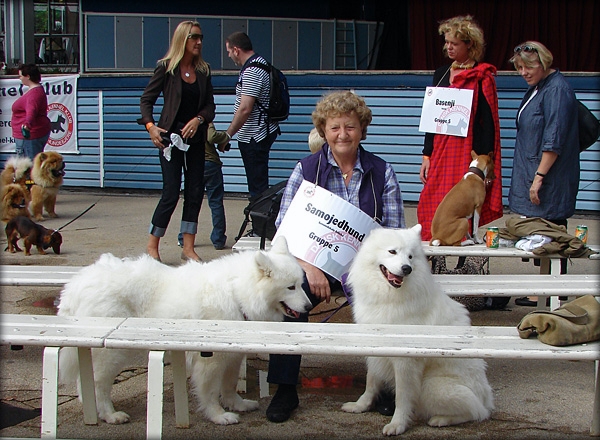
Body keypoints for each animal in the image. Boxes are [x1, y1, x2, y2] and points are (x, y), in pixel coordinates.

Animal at [58, 237, 312, 426]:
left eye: (301, 284)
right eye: (290, 287)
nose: (309, 306)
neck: (237, 293)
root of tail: (77, 284)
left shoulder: (232, 356)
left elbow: (229, 385)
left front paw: (238, 405)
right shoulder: (210, 359)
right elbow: (210, 391)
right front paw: (219, 415)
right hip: (111, 354)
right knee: (97, 384)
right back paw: (110, 414)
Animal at [340, 227, 494, 436]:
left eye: (411, 256)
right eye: (392, 252)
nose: (407, 268)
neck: (389, 296)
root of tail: (487, 397)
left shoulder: (405, 362)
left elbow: (402, 397)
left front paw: (397, 424)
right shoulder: (376, 351)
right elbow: (370, 382)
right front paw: (360, 406)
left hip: (431, 387)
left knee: (476, 411)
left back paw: (441, 419)